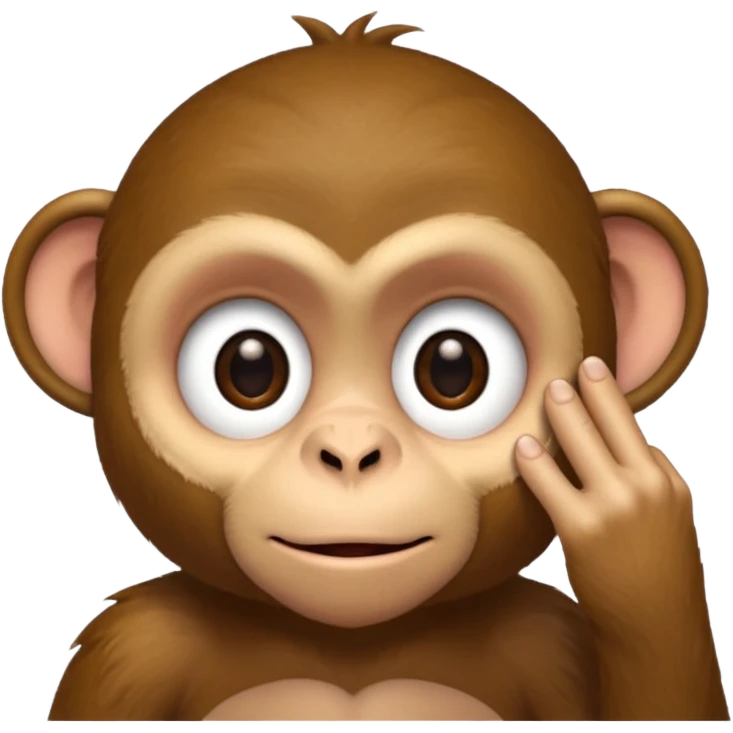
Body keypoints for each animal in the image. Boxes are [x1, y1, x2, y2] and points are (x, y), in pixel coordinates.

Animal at [3, 11, 727, 723]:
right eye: (249, 368)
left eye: (452, 367)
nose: (350, 452)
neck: (351, 649)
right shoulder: (130, 652)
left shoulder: (551, 642)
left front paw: (630, 533)